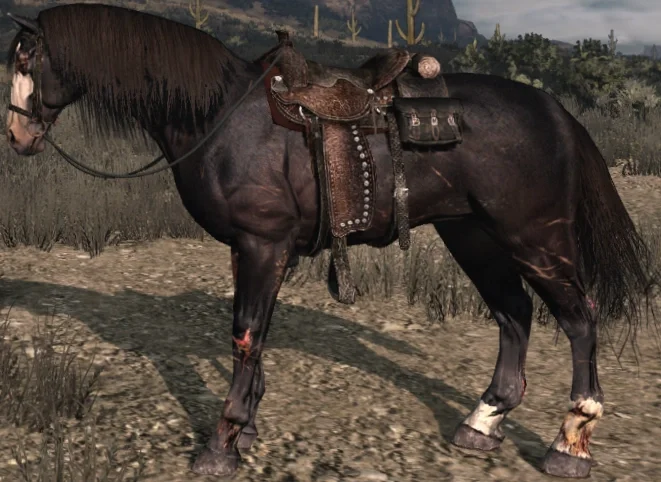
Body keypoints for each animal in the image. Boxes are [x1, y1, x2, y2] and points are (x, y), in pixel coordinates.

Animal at [4, 4, 651, 479]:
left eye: (29, 58)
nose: (17, 136)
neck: (217, 115)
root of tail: (555, 111)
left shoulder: (261, 243)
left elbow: (245, 334)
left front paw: (222, 442)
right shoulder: (256, 249)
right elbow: (255, 334)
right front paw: (248, 425)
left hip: (535, 238)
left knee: (579, 318)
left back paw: (570, 442)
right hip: (472, 234)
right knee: (513, 313)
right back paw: (482, 423)